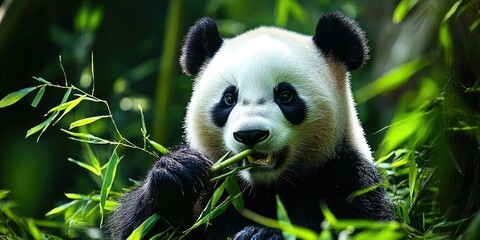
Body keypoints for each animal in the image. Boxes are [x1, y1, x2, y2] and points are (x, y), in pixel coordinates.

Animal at [109, 11, 394, 240]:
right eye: (229, 98)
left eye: (286, 96)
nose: (251, 134)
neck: (264, 188)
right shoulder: (216, 192)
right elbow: (142, 228)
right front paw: (177, 171)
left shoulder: (347, 178)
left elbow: (348, 221)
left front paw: (262, 234)